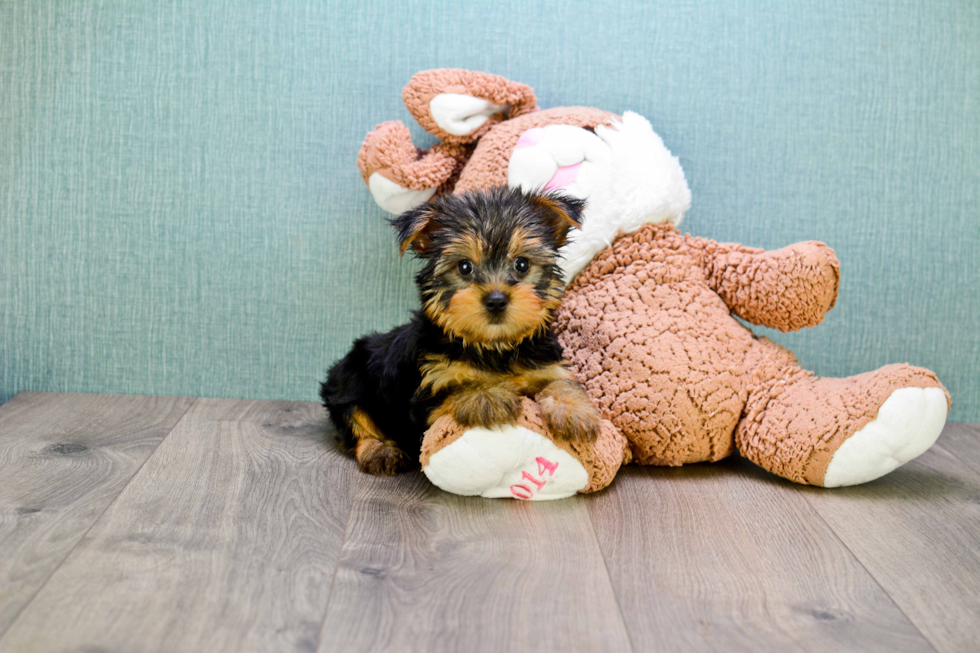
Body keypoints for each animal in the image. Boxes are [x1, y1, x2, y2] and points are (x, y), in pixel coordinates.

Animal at [320, 186, 596, 476]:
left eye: (522, 264)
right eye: (464, 266)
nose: (496, 300)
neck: (493, 346)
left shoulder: (545, 366)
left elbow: (560, 381)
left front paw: (573, 410)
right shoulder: (426, 397)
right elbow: (454, 390)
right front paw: (486, 395)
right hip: (349, 378)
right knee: (354, 420)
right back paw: (379, 450)